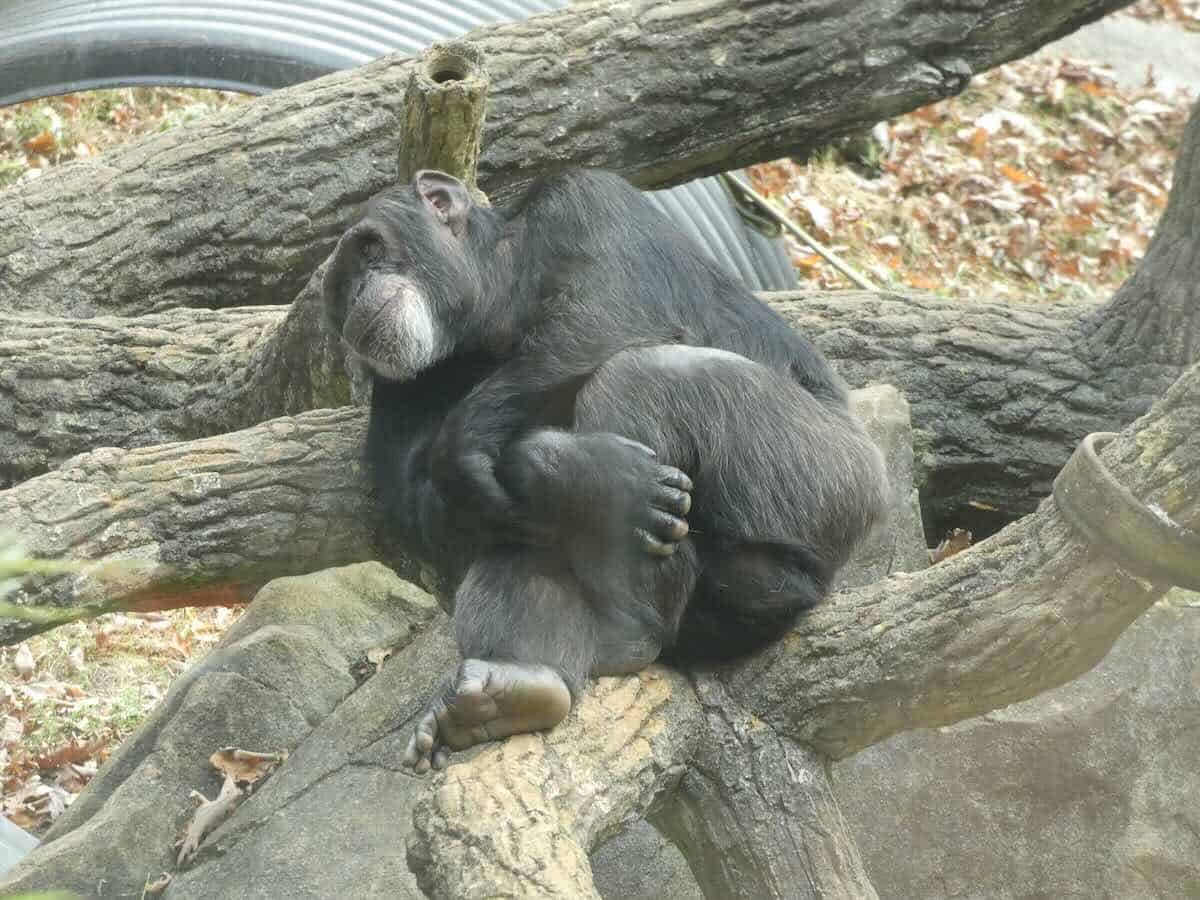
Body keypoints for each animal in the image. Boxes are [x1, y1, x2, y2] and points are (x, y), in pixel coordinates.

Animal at [324, 165, 888, 772]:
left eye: (370, 250)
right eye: (340, 290)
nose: (356, 299)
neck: (494, 302)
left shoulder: (588, 200)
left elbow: (607, 316)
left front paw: (507, 455)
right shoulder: (397, 388)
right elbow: (423, 511)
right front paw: (580, 472)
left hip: (824, 473)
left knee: (641, 374)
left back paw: (636, 625)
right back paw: (516, 686)